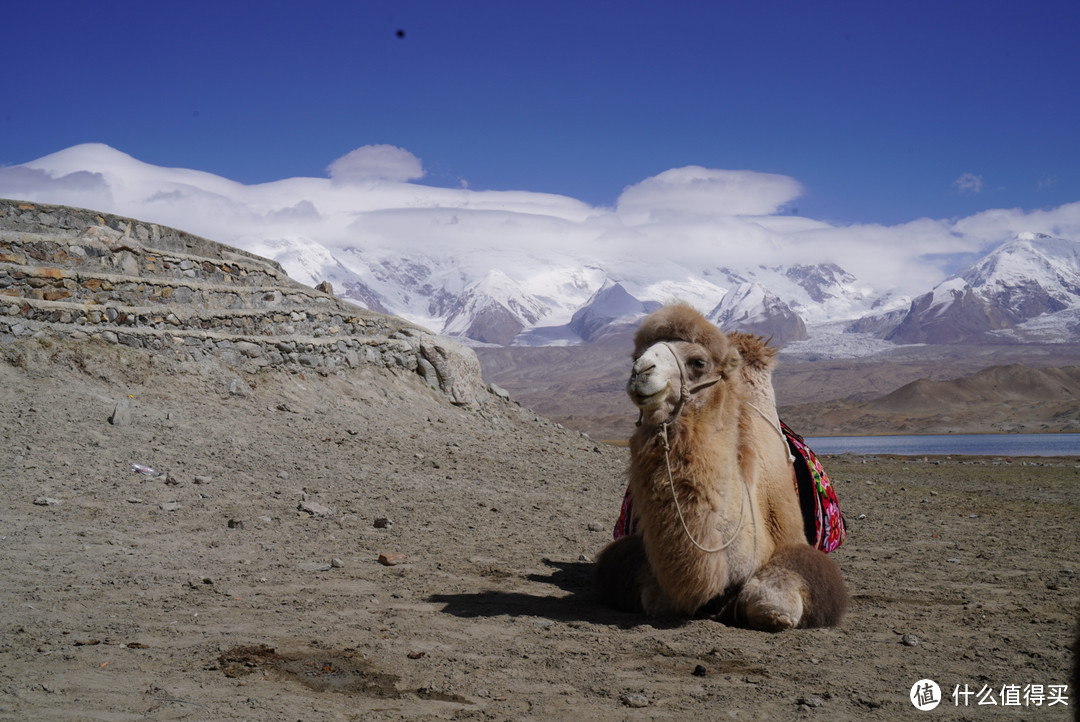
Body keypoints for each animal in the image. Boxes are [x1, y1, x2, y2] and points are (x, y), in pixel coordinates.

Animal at [596, 302, 846, 625]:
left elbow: (771, 604)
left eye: (699, 362)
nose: (640, 371)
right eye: (636, 355)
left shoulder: (792, 538)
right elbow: (656, 599)